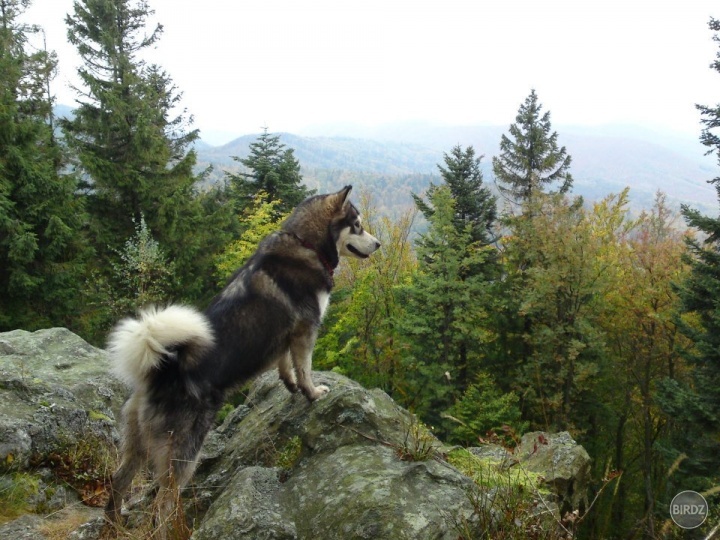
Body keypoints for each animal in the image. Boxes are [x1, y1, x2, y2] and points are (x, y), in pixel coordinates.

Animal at [104, 185, 380, 528]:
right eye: (357, 225)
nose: (378, 244)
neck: (304, 244)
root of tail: (161, 371)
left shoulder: (285, 336)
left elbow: (285, 364)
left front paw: (290, 387)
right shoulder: (305, 330)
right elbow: (304, 367)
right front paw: (312, 392)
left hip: (138, 444)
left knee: (117, 481)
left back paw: (115, 521)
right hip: (183, 451)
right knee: (164, 503)